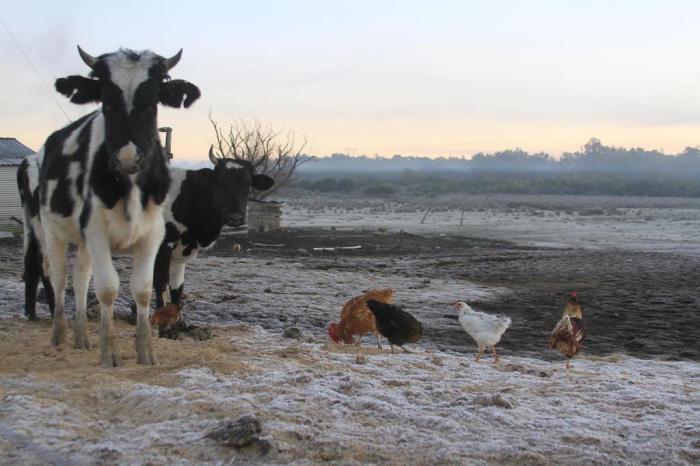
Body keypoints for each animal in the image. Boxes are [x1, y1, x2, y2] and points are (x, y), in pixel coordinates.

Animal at [153, 147, 274, 310]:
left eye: (248, 184)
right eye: (220, 181)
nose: (235, 217)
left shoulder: (179, 255)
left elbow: (177, 290)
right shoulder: (161, 247)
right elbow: (159, 284)